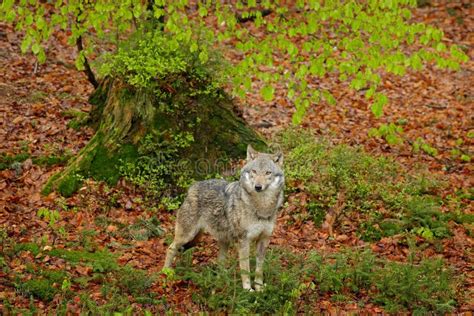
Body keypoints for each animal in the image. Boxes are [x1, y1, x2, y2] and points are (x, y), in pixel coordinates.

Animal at [162, 144, 286, 290]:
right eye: (254, 171)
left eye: (268, 173)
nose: (258, 187)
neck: (262, 207)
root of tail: (192, 187)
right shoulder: (244, 241)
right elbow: (245, 270)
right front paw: (248, 290)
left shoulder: (263, 240)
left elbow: (259, 270)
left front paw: (260, 289)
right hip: (187, 236)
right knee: (170, 248)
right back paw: (166, 273)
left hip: (221, 241)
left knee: (220, 263)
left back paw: (222, 282)